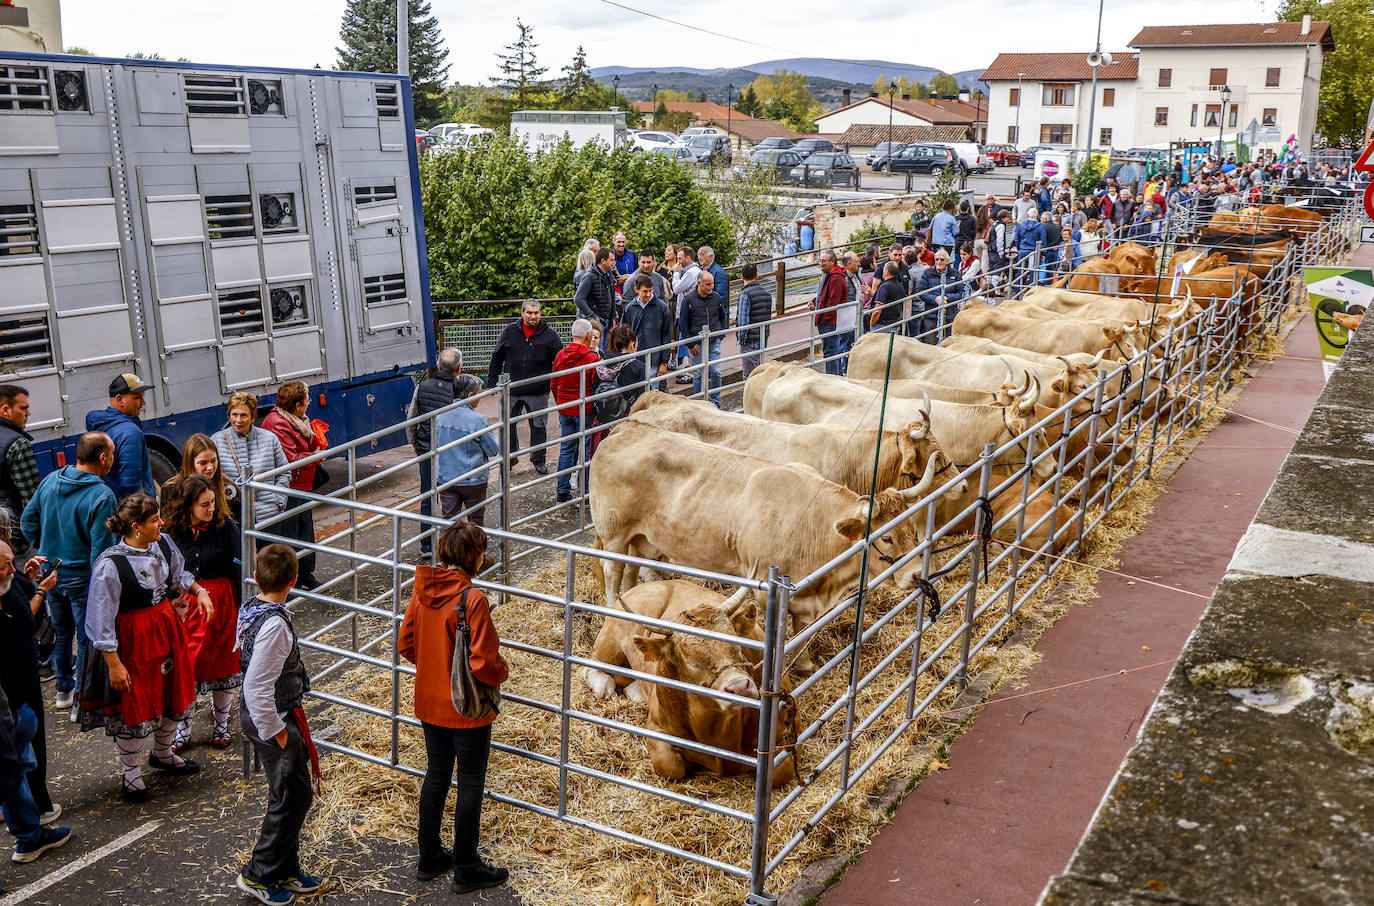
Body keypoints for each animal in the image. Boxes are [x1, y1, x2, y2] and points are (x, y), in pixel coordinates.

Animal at [585, 580, 802, 786]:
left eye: (739, 644)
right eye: (690, 662)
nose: (739, 687)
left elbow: (780, 774)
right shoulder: (656, 730)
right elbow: (670, 768)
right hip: (609, 644)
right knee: (590, 667)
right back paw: (604, 687)